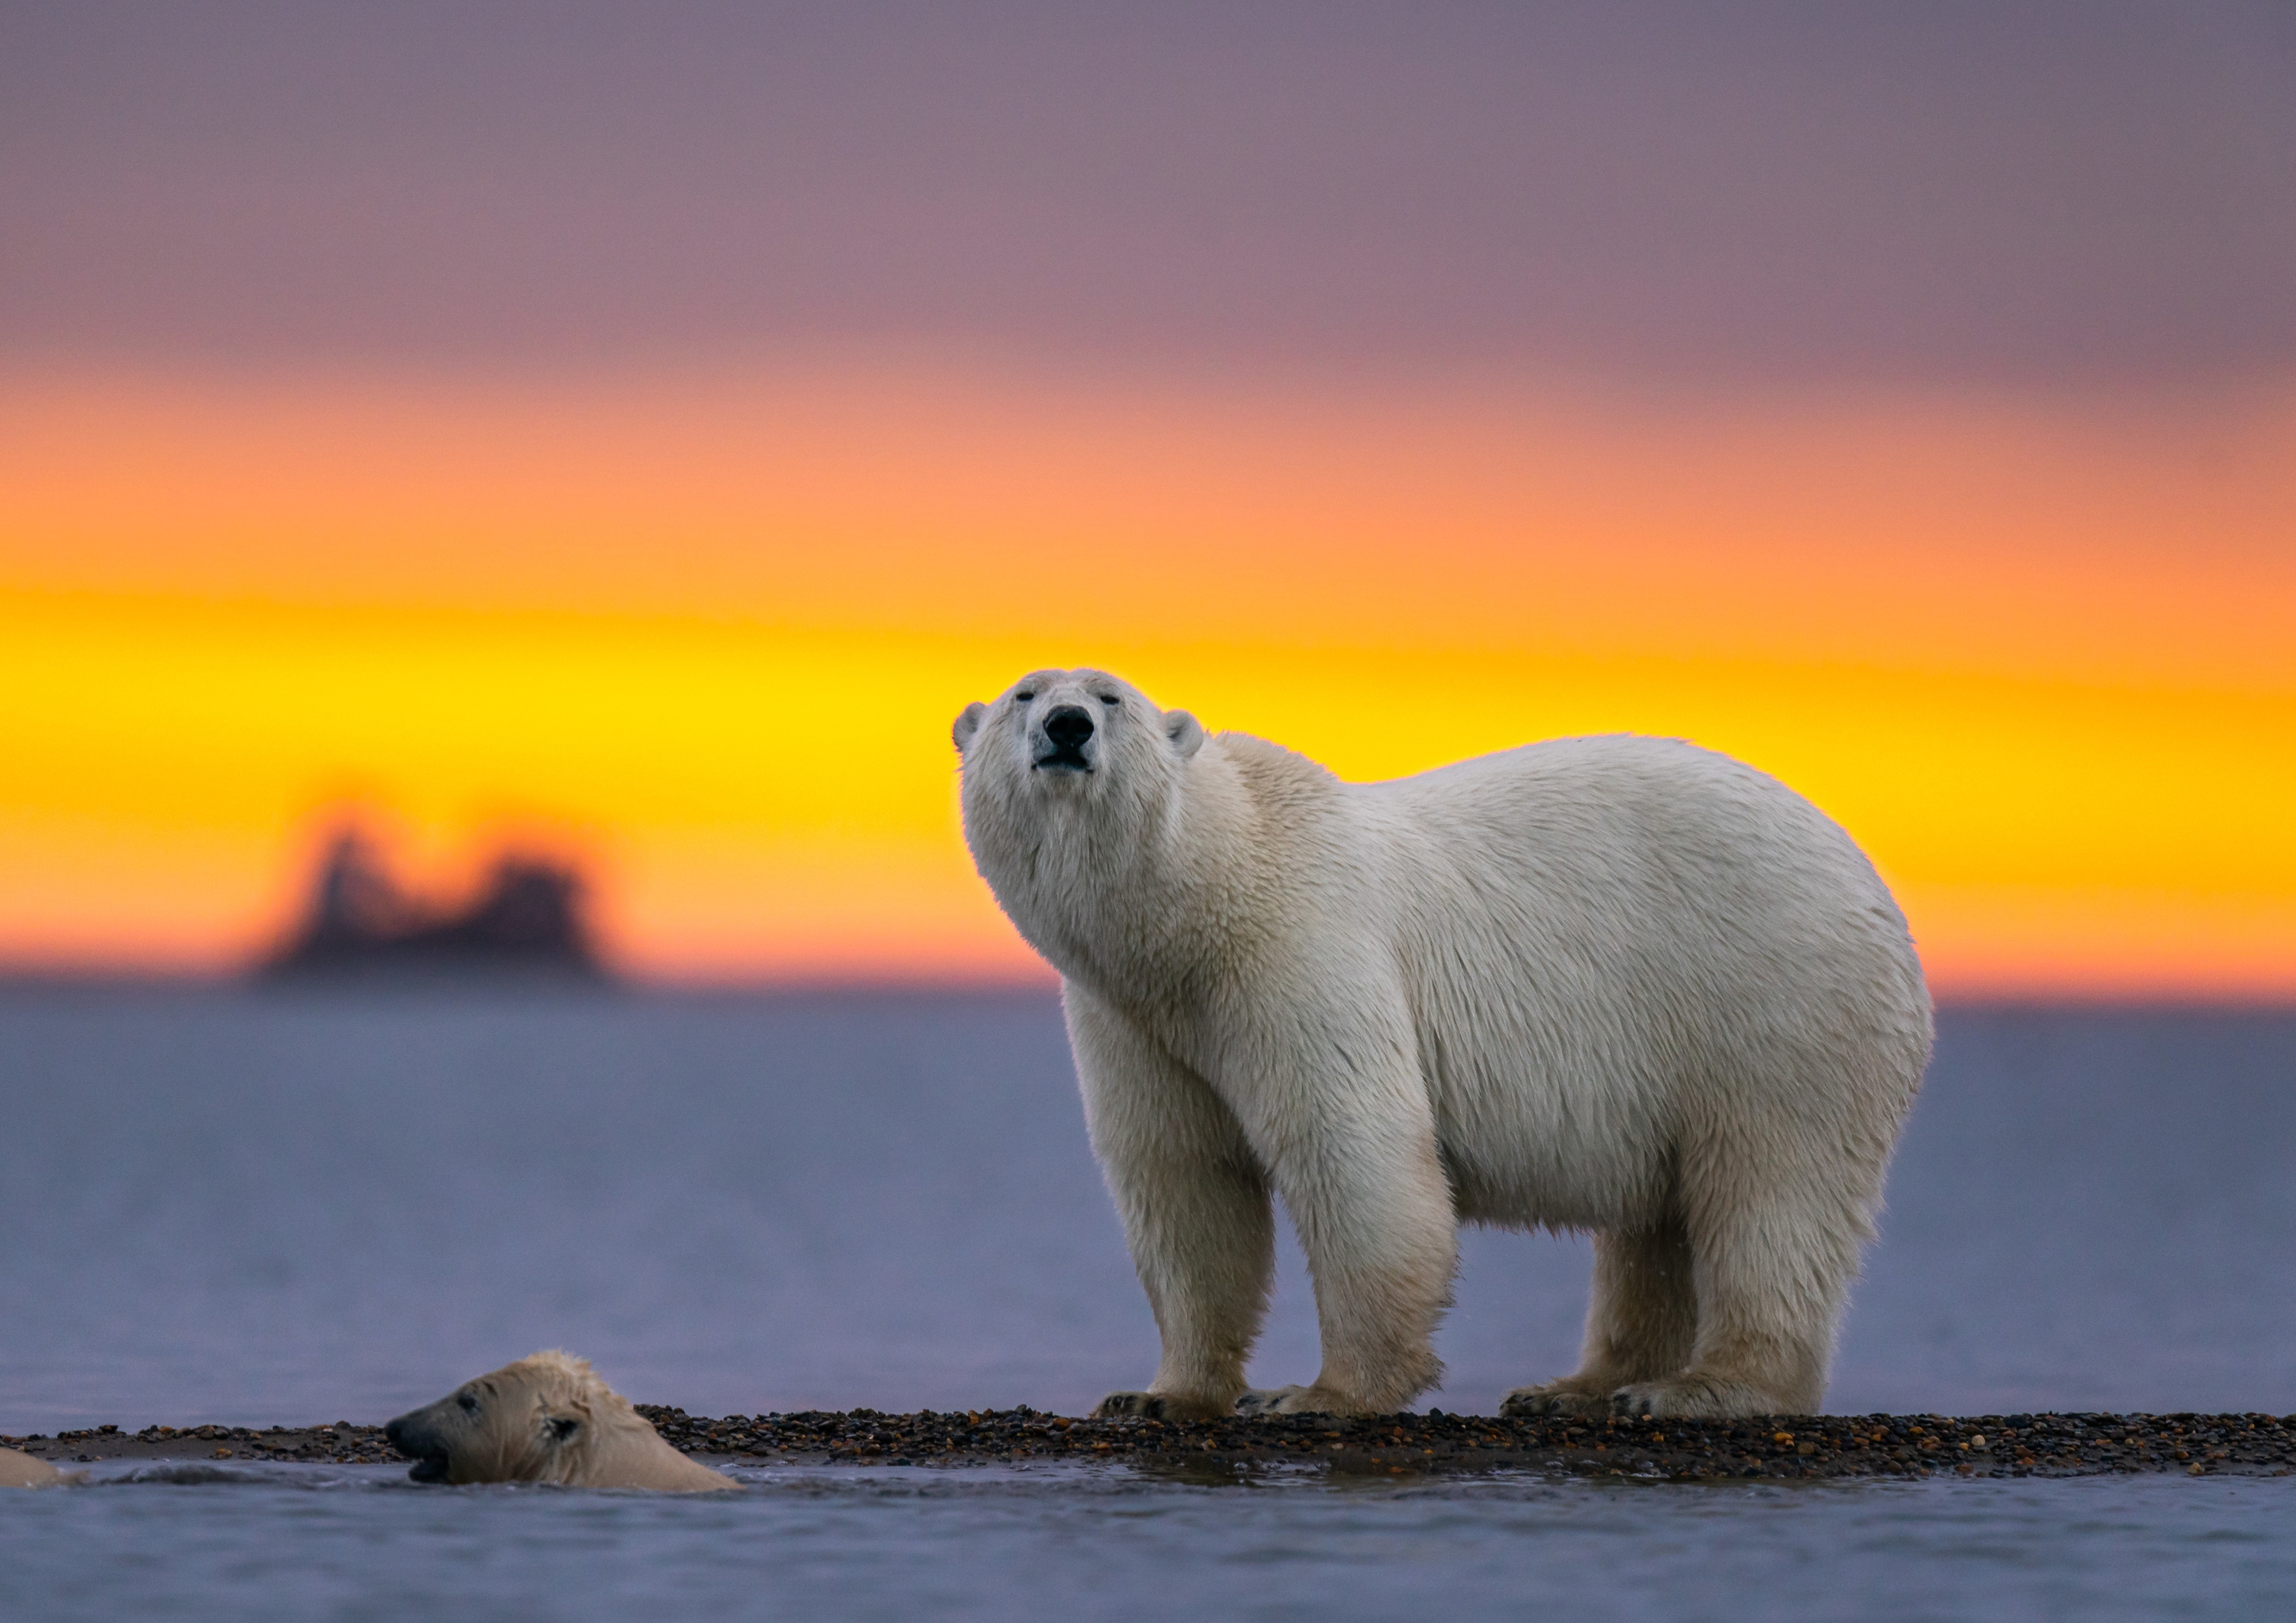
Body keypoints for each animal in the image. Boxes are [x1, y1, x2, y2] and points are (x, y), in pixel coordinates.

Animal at [955, 675, 1937, 1423]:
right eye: (1025, 692)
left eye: (1110, 696)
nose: (1067, 726)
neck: (1200, 904)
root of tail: (1876, 888)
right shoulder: (1135, 1021)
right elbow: (1183, 1181)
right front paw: (1159, 1394)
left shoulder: (1301, 947)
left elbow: (1354, 1151)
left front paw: (1320, 1395)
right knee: (1658, 1223)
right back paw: (1579, 1386)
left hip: (1775, 1002)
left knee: (1771, 1190)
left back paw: (1702, 1387)